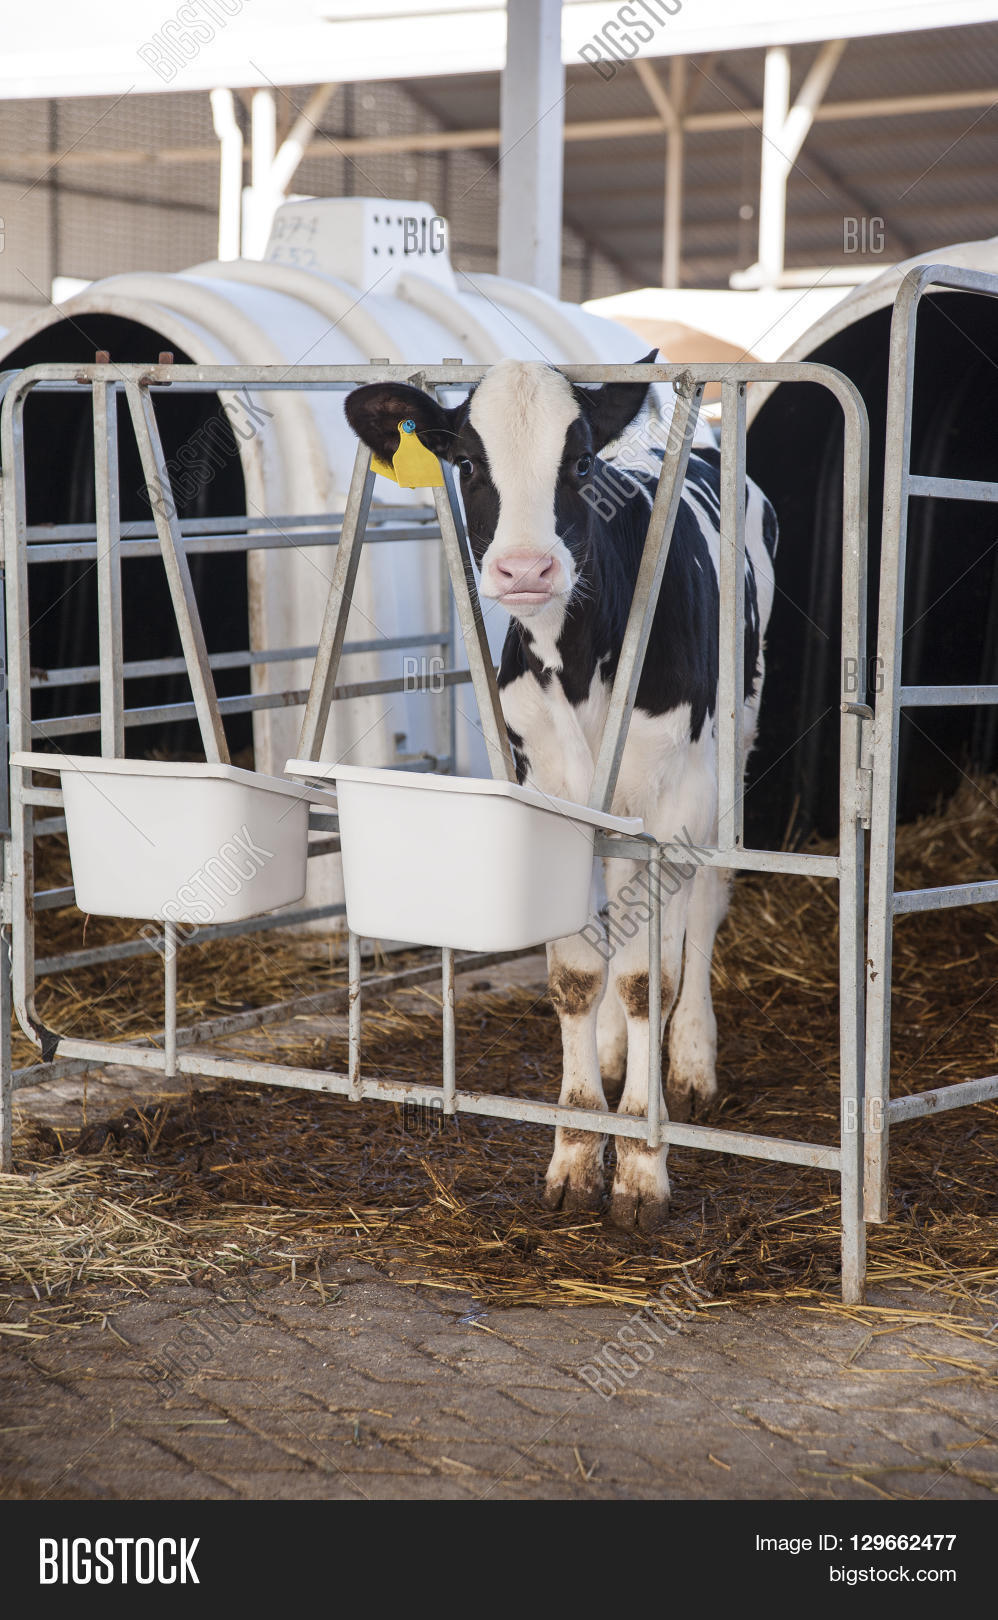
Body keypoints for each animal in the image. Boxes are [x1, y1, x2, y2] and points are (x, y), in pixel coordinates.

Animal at [345, 354, 777, 1232]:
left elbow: (651, 978)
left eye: (578, 466)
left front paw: (641, 1163)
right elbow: (577, 974)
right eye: (466, 464)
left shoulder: (675, 804)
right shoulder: (545, 795)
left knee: (703, 907)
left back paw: (691, 1058)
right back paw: (613, 1052)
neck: (577, 659)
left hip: (732, 749)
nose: (524, 570)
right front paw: (578, 1149)